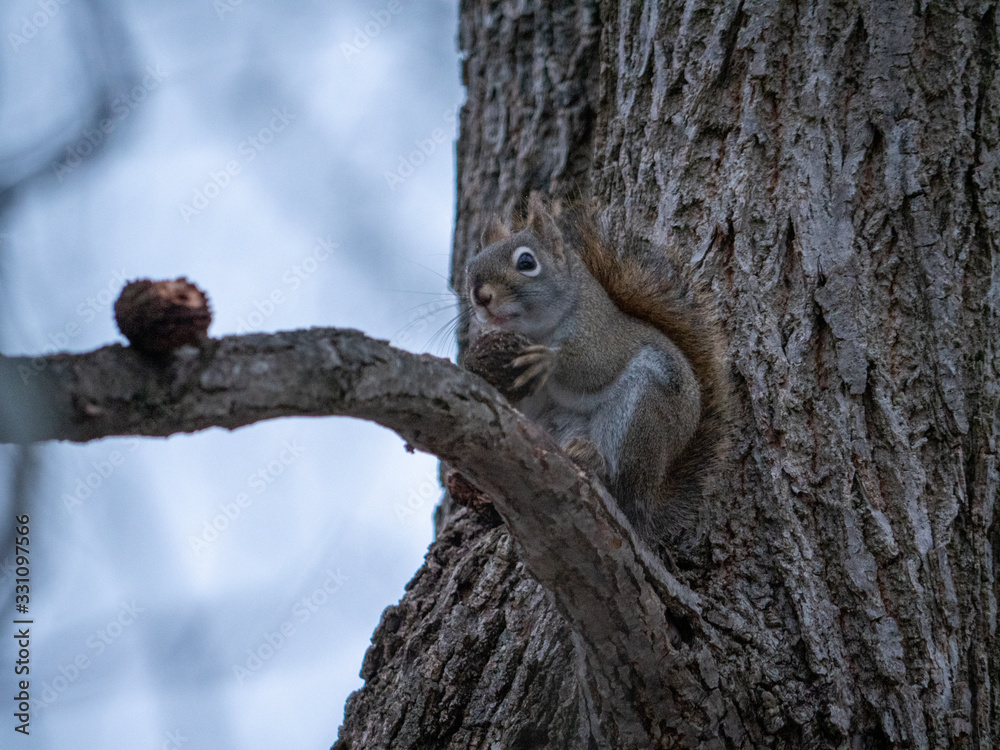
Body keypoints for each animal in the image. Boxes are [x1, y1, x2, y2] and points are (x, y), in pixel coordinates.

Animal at [458, 194, 731, 554]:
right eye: (470, 267)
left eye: (527, 262)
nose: (481, 296)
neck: (534, 331)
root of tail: (650, 500)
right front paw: (477, 366)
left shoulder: (601, 333)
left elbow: (595, 366)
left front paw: (548, 361)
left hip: (643, 410)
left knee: (621, 483)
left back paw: (596, 463)